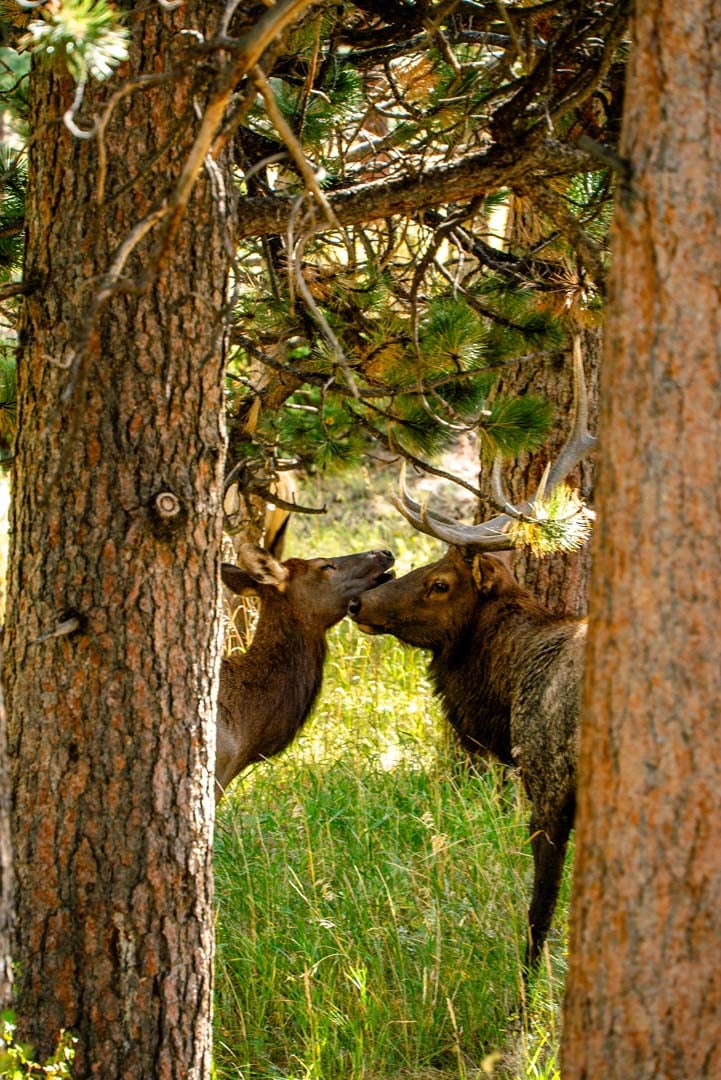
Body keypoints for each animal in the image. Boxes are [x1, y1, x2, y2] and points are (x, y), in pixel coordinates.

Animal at [345, 347, 595, 972]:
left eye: (440, 583)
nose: (359, 601)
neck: (507, 691)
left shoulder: (548, 777)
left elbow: (540, 910)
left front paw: (528, 990)